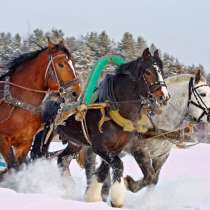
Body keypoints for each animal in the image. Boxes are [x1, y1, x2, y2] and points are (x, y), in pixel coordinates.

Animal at [0, 39, 81, 171]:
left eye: (72, 63)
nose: (76, 93)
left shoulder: (24, 144)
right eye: (61, 64)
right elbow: (13, 168)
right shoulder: (2, 140)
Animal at [52, 48, 169, 208]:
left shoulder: (116, 148)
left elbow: (103, 171)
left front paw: (92, 195)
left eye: (161, 70)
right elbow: (118, 165)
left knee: (62, 159)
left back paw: (68, 186)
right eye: (148, 72)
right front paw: (117, 198)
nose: (164, 96)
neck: (114, 108)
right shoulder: (99, 147)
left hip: (75, 143)